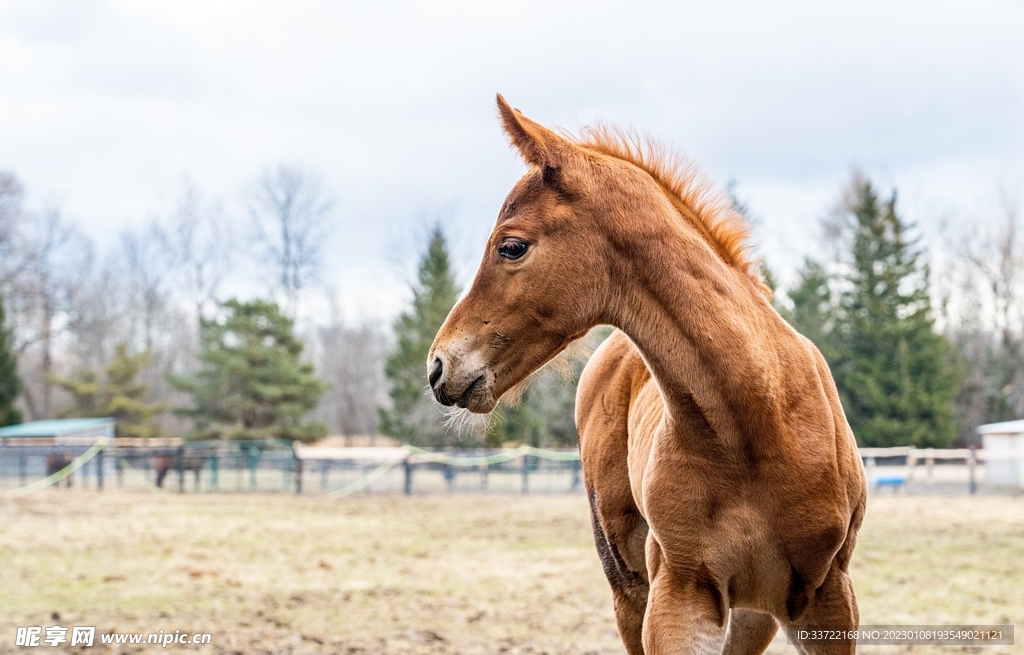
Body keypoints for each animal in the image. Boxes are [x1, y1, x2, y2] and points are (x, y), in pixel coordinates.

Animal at [427, 96, 867, 654]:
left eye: (511, 246)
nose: (438, 366)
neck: (758, 424)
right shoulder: (679, 595)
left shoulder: (829, 598)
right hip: (629, 587)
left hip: (755, 614)